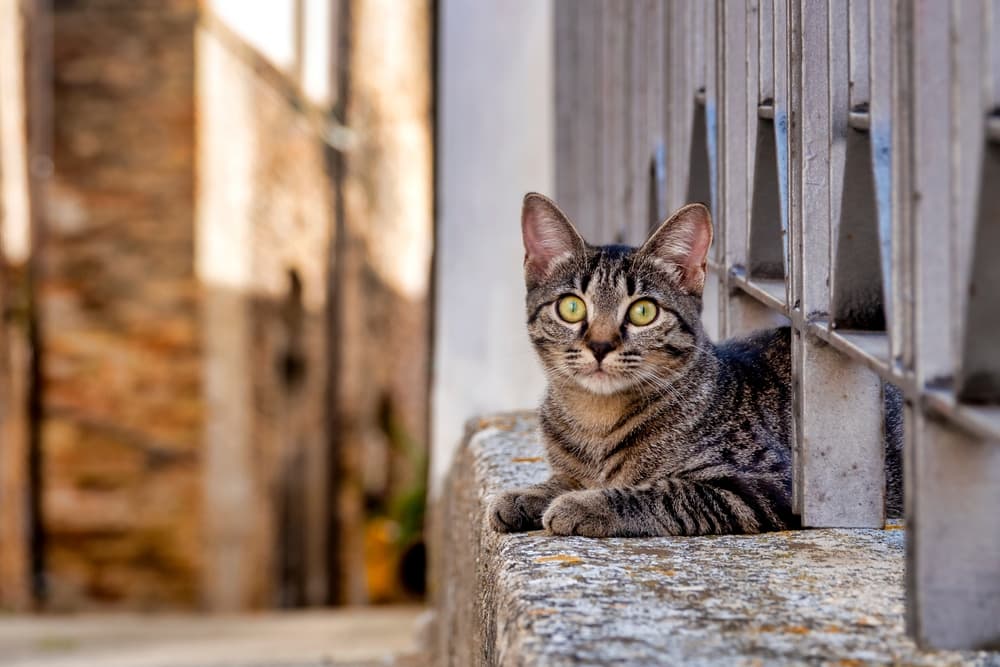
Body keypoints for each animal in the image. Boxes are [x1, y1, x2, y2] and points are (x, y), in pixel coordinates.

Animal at [488, 193, 904, 536]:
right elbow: (563, 478)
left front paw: (584, 504)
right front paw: (527, 495)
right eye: (571, 307)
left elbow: (660, 494)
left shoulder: (763, 486)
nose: (601, 345)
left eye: (643, 312)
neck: (595, 419)